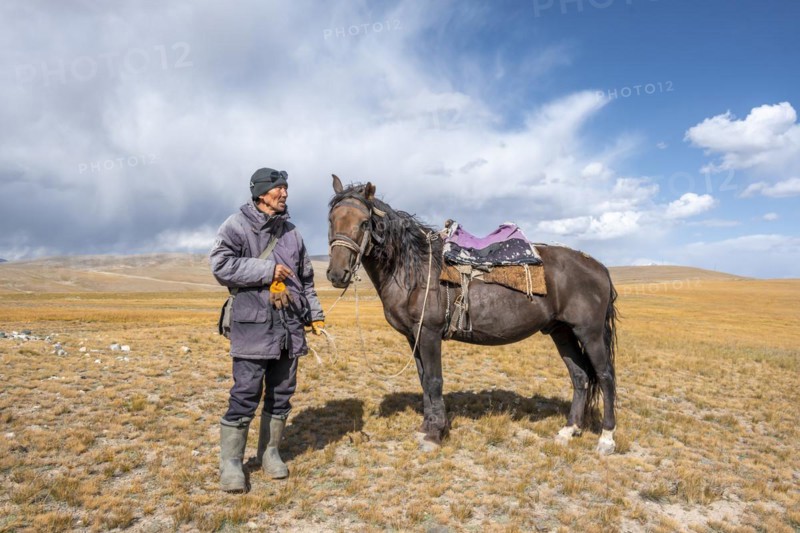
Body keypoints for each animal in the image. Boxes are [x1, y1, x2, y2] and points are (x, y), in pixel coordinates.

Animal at [326, 176, 618, 454]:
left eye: (365, 222)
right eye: (331, 219)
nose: (337, 274)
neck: (413, 270)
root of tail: (600, 267)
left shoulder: (429, 333)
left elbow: (433, 381)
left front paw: (434, 435)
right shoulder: (413, 336)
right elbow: (423, 380)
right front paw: (426, 427)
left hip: (589, 332)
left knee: (605, 376)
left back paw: (606, 438)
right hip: (561, 331)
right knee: (580, 376)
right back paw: (569, 430)